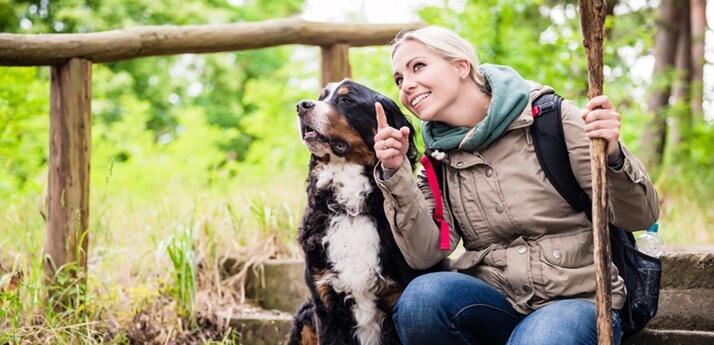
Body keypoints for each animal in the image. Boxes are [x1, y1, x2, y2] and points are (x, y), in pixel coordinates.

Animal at [288, 78, 448, 344]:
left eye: (346, 100)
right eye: (321, 97)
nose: (302, 106)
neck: (351, 209)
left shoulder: (396, 296)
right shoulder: (326, 303)